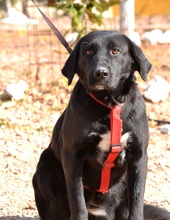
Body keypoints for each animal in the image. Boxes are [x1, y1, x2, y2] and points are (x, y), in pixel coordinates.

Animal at [32, 31, 169, 220]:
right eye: (88, 52)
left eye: (115, 51)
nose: (100, 73)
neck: (109, 104)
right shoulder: (73, 157)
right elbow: (78, 201)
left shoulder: (138, 156)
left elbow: (136, 199)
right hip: (45, 169)